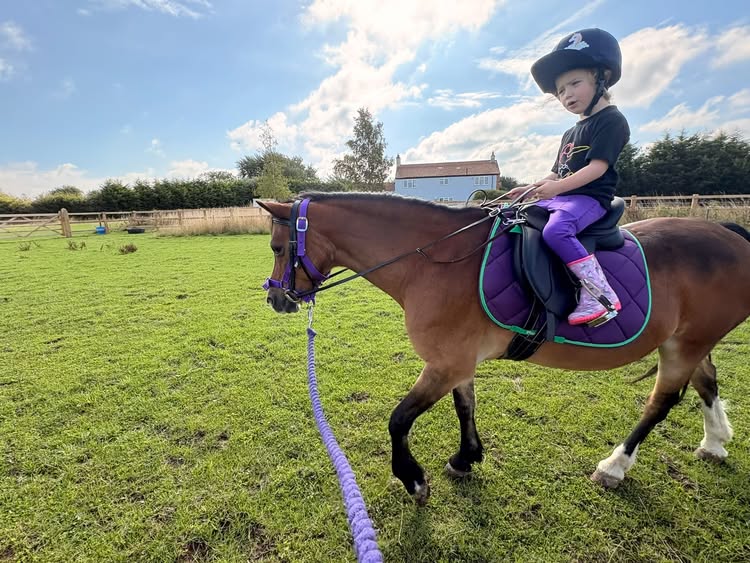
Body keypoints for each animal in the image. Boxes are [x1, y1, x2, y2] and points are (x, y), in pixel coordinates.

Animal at [257, 192, 750, 505]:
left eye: (278, 247)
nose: (276, 300)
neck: (433, 263)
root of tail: (730, 235)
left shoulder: (444, 363)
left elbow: (399, 420)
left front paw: (414, 480)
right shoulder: (457, 362)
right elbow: (465, 406)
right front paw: (466, 458)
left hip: (683, 345)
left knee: (660, 403)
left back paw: (614, 466)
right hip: (688, 340)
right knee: (706, 380)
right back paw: (715, 442)